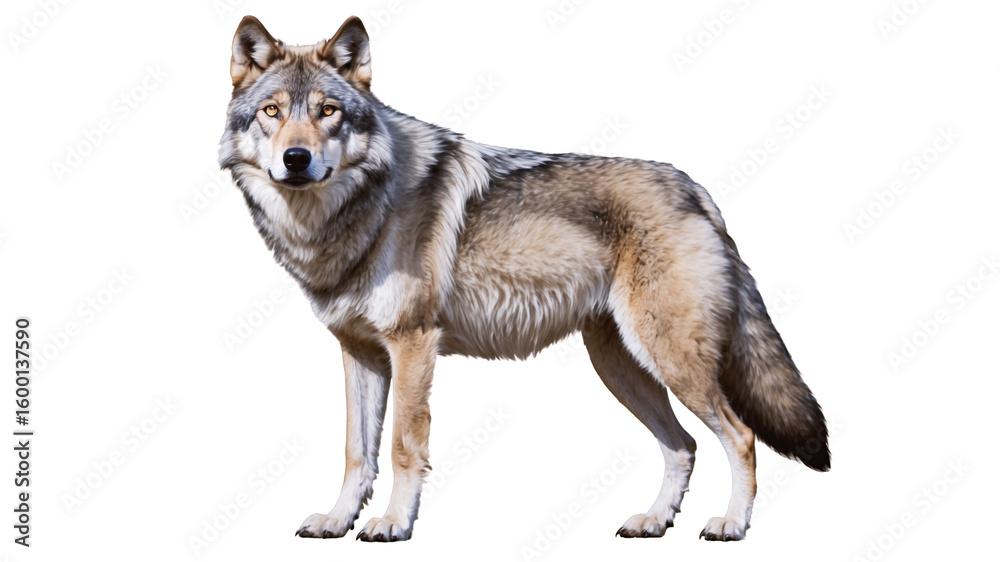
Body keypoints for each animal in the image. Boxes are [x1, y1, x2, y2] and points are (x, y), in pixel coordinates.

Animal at [219, 15, 830, 543]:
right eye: (272, 111)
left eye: (328, 111)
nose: (297, 159)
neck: (345, 217)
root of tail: (697, 190)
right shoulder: (360, 352)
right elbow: (355, 451)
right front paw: (337, 520)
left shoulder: (413, 344)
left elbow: (402, 445)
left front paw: (392, 524)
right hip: (621, 368)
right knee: (682, 446)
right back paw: (654, 522)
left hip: (672, 362)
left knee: (740, 436)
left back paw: (731, 525)